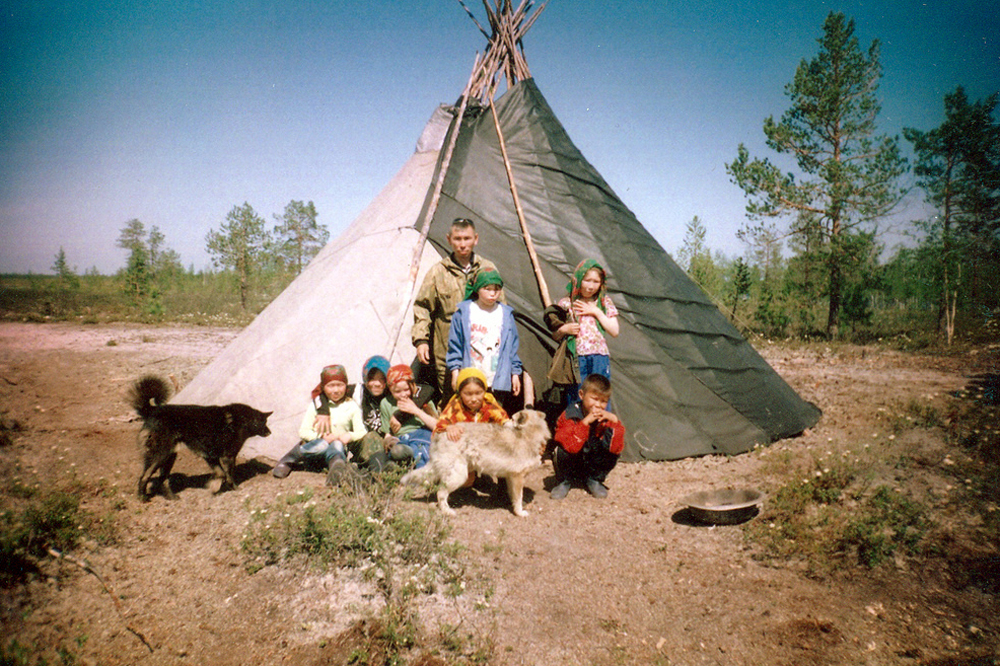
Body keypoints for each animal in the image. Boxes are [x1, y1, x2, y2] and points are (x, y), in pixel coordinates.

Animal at [133, 374, 274, 498]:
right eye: (263, 423)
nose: (270, 433)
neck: (241, 421)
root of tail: (152, 410)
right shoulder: (224, 456)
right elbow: (226, 475)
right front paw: (223, 487)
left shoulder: (211, 456)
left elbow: (221, 473)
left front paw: (216, 486)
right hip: (162, 455)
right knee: (145, 476)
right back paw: (142, 497)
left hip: (169, 456)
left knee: (160, 480)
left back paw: (169, 497)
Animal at [400, 410, 552, 512]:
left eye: (512, 419)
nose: (506, 421)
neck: (528, 434)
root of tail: (440, 435)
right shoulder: (518, 477)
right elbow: (519, 498)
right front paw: (520, 513)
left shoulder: (511, 478)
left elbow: (514, 496)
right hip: (459, 476)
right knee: (440, 493)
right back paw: (447, 511)